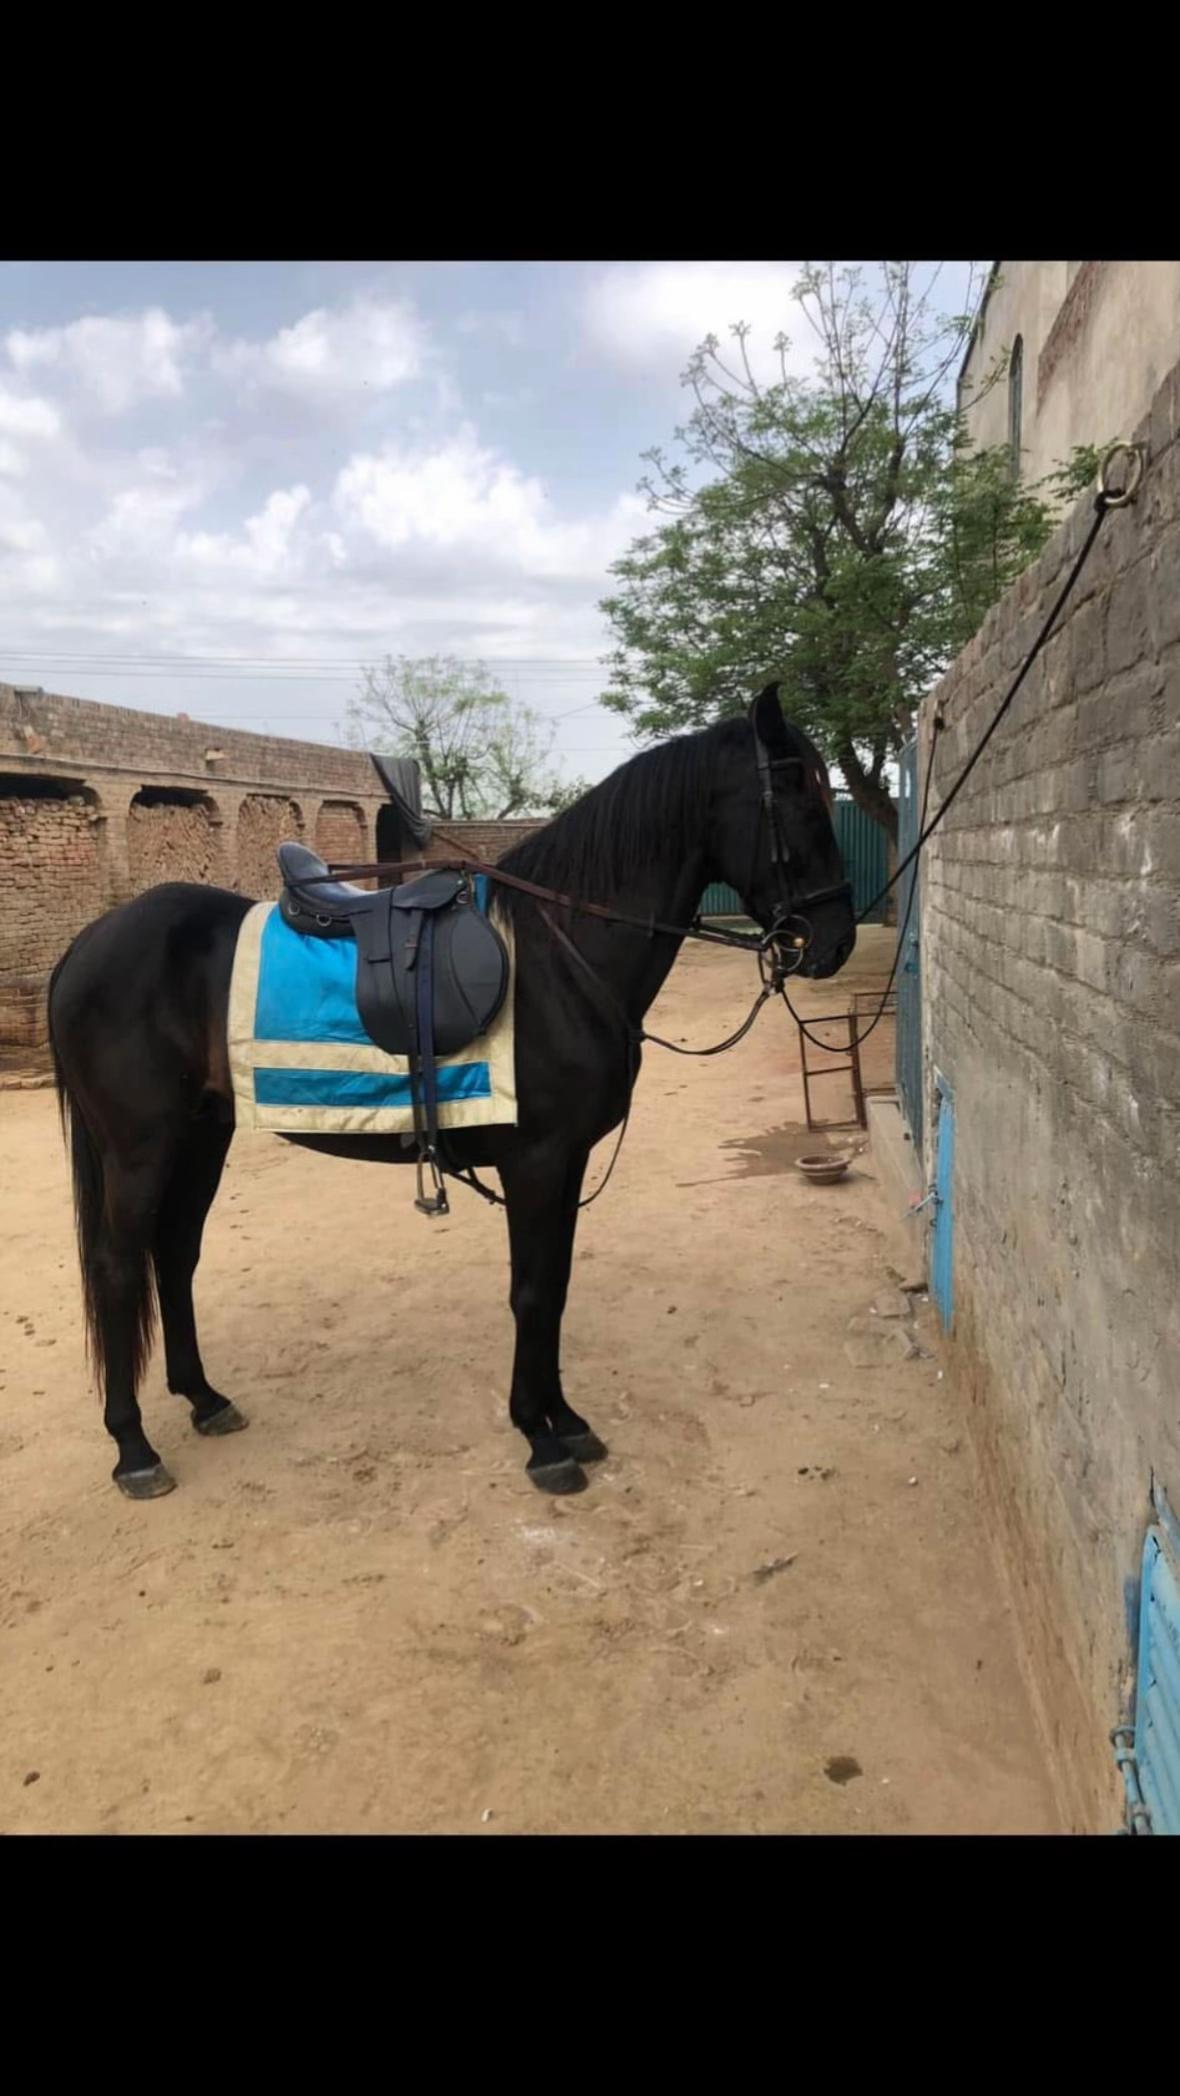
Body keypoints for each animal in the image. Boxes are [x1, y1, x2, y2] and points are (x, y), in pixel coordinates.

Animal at [47, 683, 856, 1502]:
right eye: (796, 794)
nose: (835, 940)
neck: (558, 957)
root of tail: (88, 942)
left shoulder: (562, 1165)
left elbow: (555, 1284)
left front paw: (567, 1421)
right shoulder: (536, 1162)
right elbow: (533, 1292)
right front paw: (540, 1437)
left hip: (201, 1136)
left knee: (174, 1253)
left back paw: (205, 1399)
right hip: (141, 1149)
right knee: (119, 1268)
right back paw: (134, 1447)